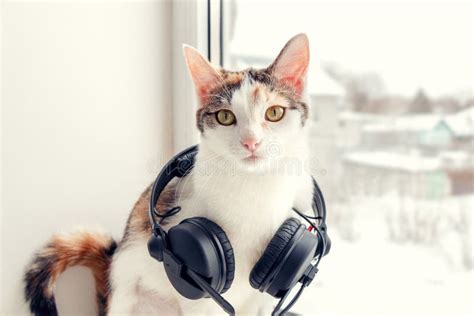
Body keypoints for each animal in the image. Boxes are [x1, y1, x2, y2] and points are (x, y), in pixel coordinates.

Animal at [24, 33, 316, 314]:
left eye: (274, 112)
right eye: (225, 117)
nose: (251, 142)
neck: (255, 190)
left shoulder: (261, 301)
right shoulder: (198, 296)